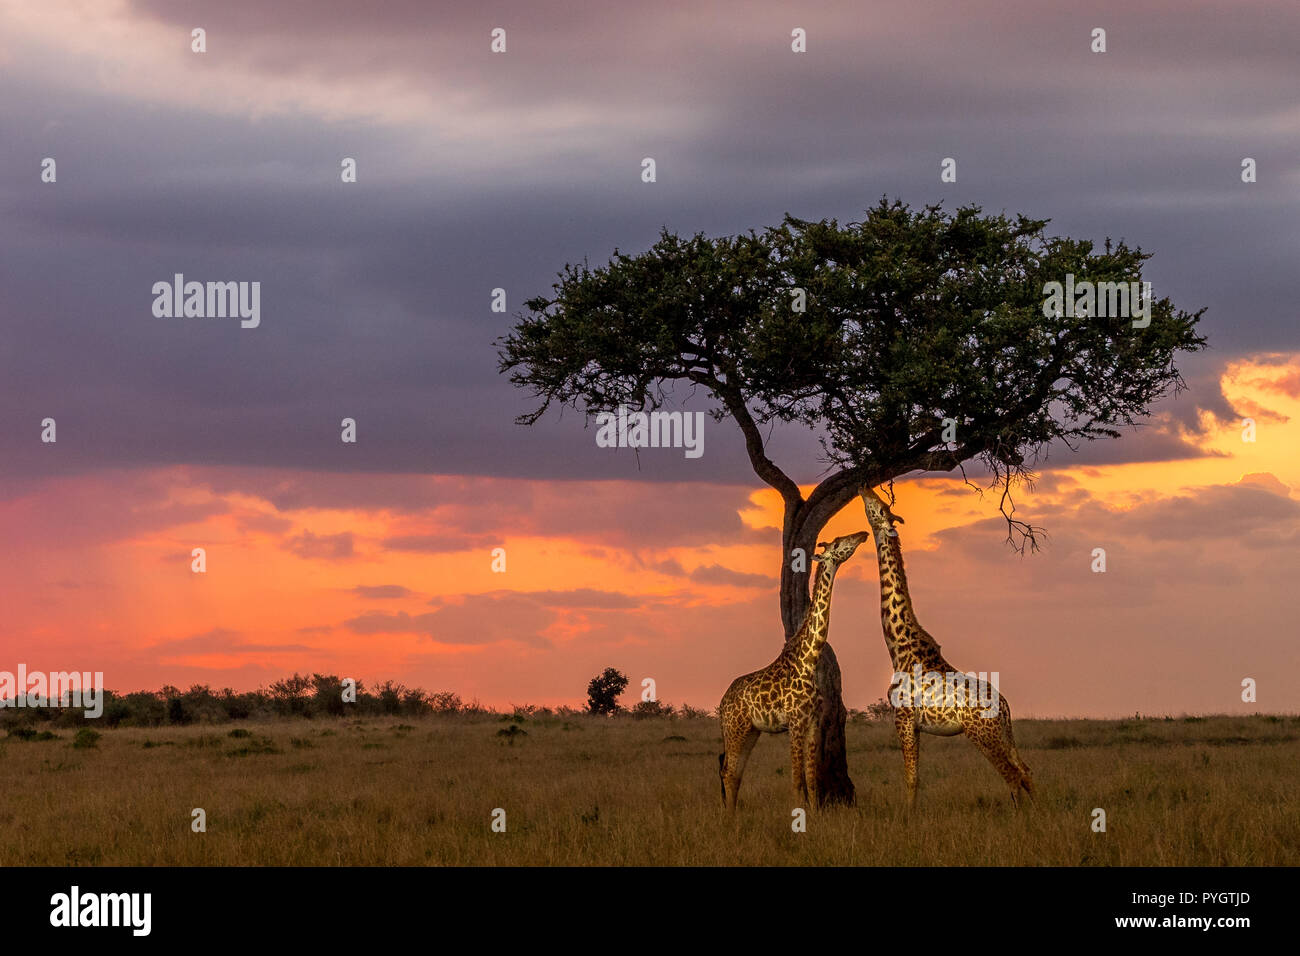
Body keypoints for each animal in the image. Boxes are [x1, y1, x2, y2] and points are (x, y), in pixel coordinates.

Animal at [722, 528, 873, 811]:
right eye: (838, 543)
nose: (861, 534)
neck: (809, 660)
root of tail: (722, 702)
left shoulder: (813, 722)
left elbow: (812, 780)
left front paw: (815, 815)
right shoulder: (794, 722)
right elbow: (796, 779)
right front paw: (797, 816)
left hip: (750, 730)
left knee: (736, 772)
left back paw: (732, 815)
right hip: (735, 728)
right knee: (728, 771)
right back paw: (727, 817)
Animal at [863, 486, 1034, 806]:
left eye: (878, 507)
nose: (863, 487)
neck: (899, 647)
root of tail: (1005, 706)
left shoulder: (903, 719)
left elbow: (911, 778)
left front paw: (907, 815)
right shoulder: (914, 724)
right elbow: (916, 777)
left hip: (982, 734)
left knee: (1012, 777)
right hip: (1002, 733)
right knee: (1025, 771)